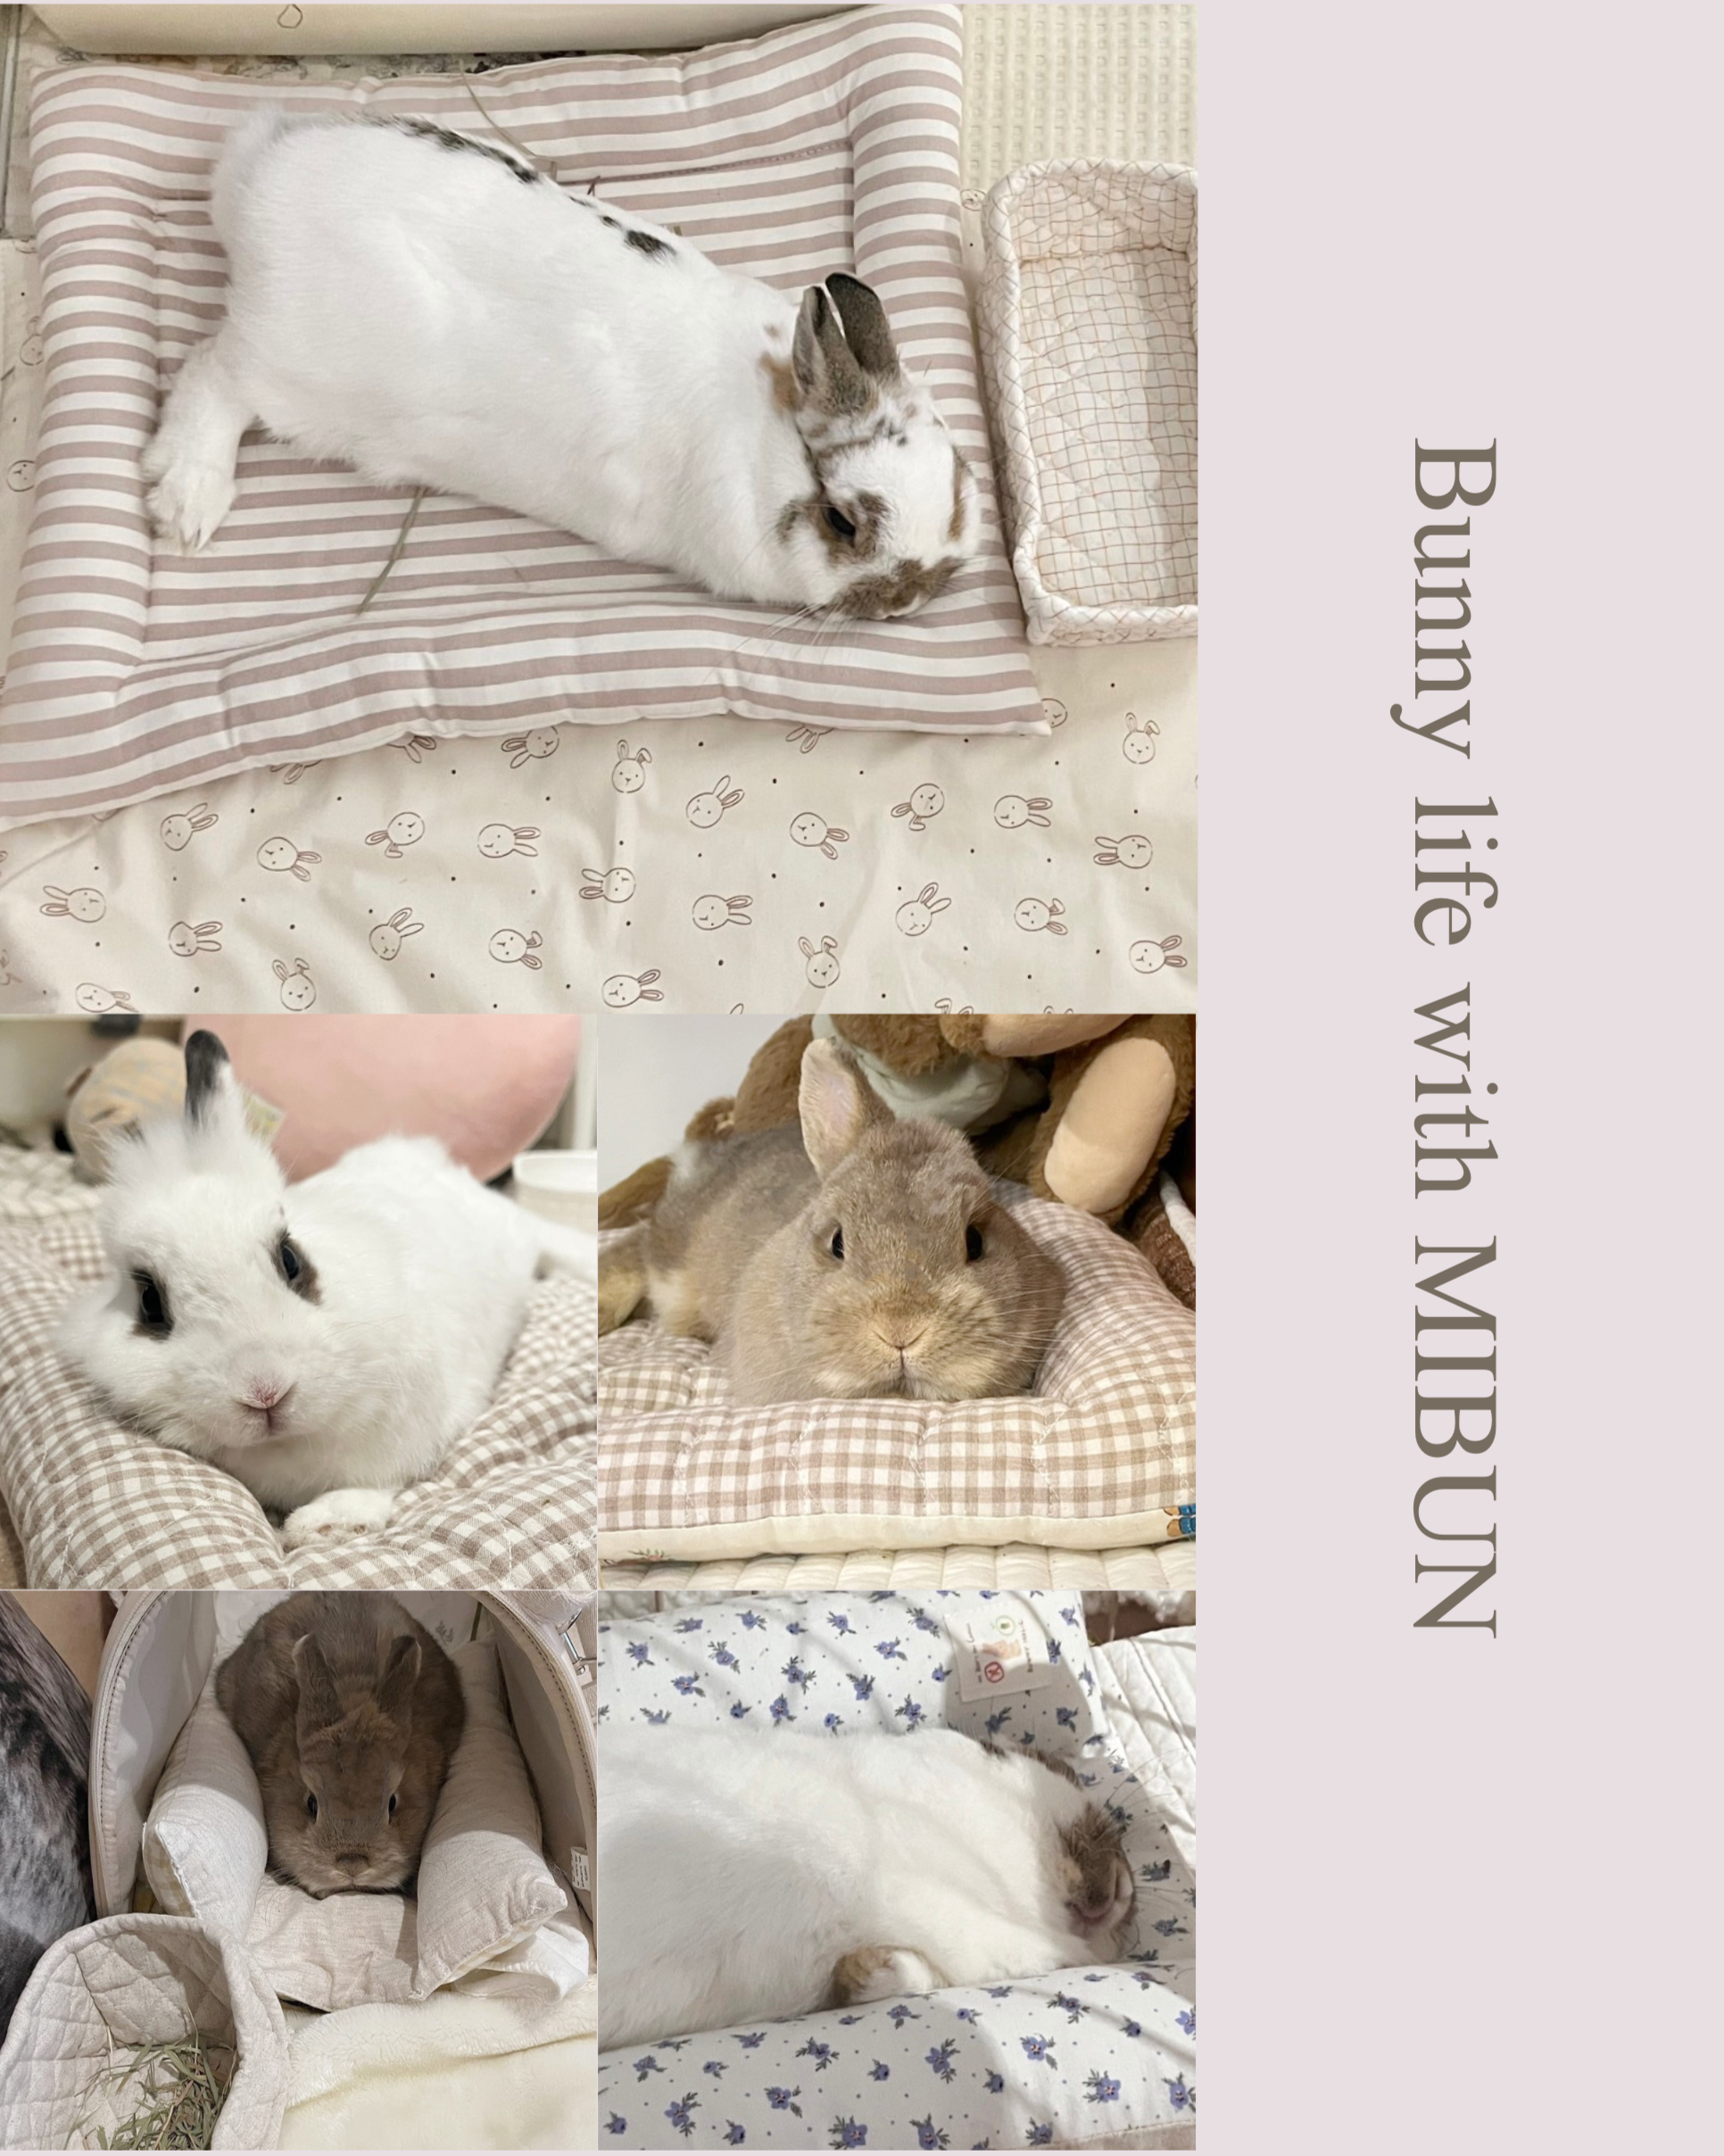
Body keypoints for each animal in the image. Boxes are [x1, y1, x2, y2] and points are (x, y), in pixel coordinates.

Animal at [56, 1029, 590, 1546]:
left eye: (290, 1259)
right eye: (150, 1302)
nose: (263, 1390)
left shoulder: (405, 1438)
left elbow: (375, 1484)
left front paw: (326, 1525)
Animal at [144, 112, 980, 618]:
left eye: (963, 480)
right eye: (842, 520)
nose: (912, 594)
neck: (769, 429)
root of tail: (255, 185)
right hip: (288, 369)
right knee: (209, 369)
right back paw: (187, 504)